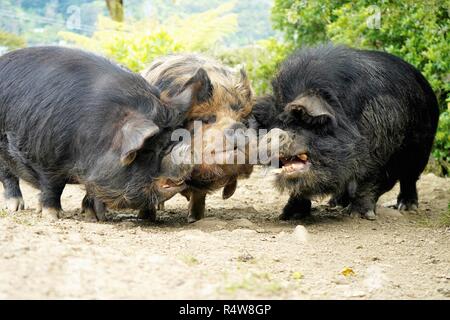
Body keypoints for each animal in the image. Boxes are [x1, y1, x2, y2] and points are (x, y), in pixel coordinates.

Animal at [0, 46, 206, 219]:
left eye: (174, 140)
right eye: (150, 149)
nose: (189, 161)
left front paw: (95, 216)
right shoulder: (46, 158)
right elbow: (53, 186)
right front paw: (54, 216)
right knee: (8, 176)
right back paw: (16, 208)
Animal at [253, 44, 440, 220]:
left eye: (304, 121)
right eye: (272, 124)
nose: (273, 133)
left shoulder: (377, 151)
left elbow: (368, 180)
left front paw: (359, 215)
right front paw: (287, 216)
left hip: (421, 149)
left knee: (409, 177)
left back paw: (406, 207)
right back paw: (335, 204)